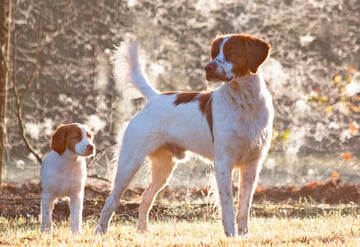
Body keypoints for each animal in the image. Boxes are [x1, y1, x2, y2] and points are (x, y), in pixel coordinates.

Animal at [95, 33, 272, 236]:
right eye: (213, 54)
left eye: (231, 53)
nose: (208, 67)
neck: (245, 103)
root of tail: (154, 97)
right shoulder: (223, 163)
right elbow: (228, 205)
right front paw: (231, 235)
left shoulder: (252, 164)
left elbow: (244, 206)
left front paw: (244, 234)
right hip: (129, 163)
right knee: (112, 199)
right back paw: (100, 231)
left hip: (163, 168)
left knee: (146, 196)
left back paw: (143, 230)